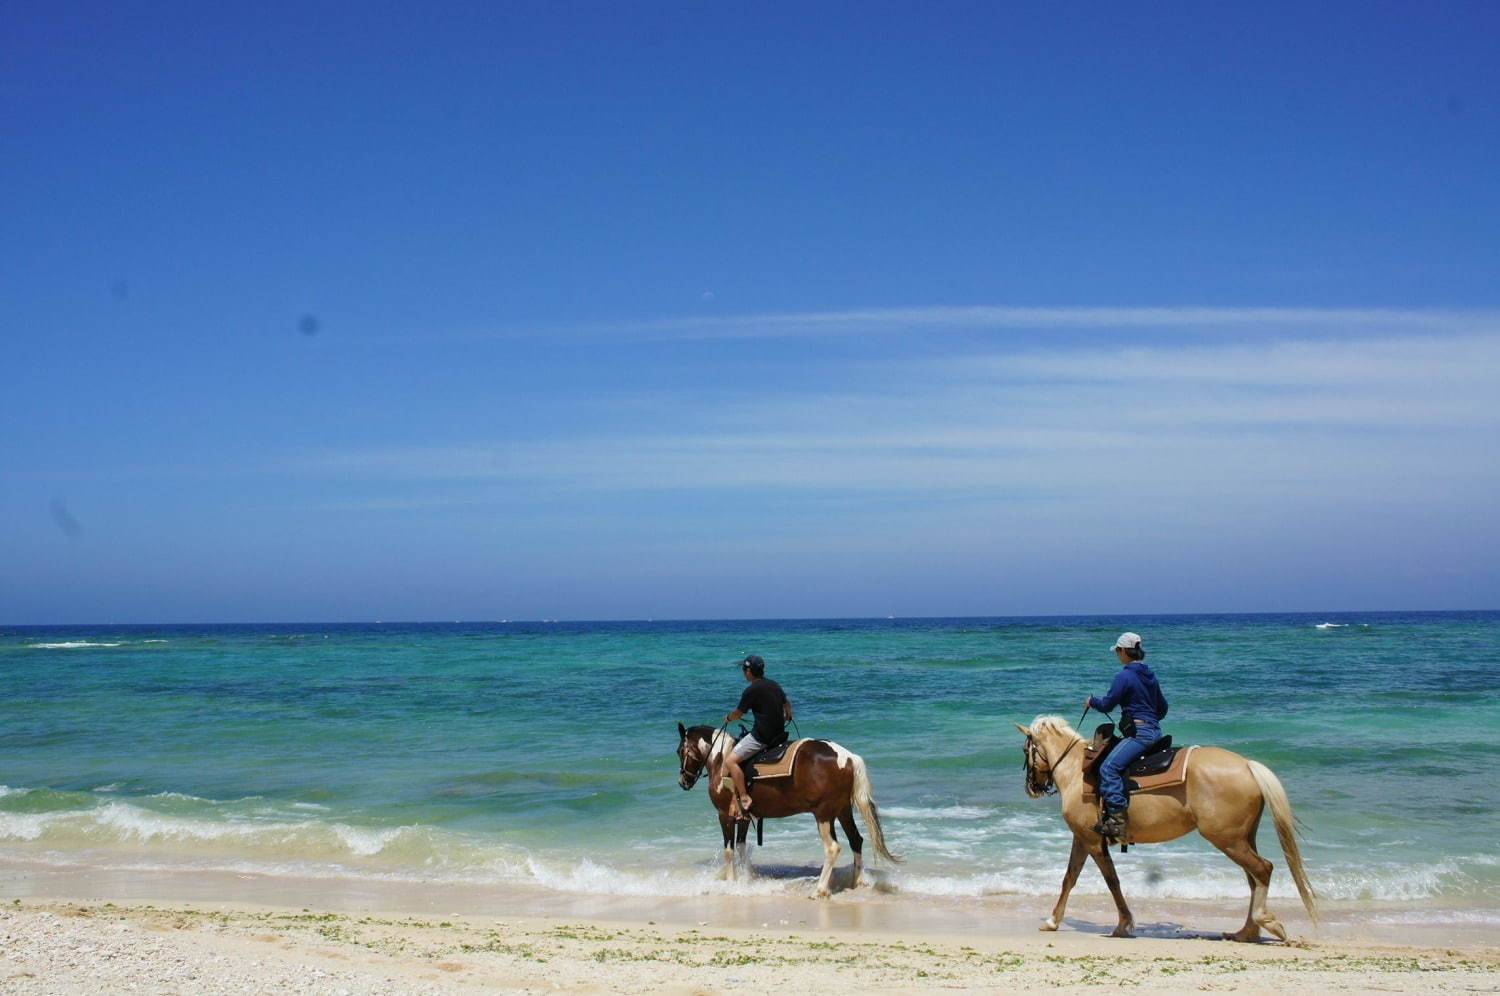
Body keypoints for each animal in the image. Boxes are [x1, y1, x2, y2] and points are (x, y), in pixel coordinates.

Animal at [678, 720, 894, 900]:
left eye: (680, 750)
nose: (683, 782)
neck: (722, 759)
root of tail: (847, 757)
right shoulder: (744, 817)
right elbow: (741, 848)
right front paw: (747, 879)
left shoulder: (725, 815)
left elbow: (729, 851)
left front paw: (731, 883)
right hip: (843, 810)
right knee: (855, 840)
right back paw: (856, 881)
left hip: (824, 814)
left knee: (833, 847)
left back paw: (820, 890)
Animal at [1014, 717, 1320, 942]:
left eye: (1025, 750)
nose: (1031, 788)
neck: (1076, 770)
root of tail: (1247, 765)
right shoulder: (1082, 838)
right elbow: (1070, 878)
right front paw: (1053, 921)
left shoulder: (1090, 839)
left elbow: (1111, 881)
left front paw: (1123, 925)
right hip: (1243, 838)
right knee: (1253, 877)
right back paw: (1246, 932)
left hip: (1227, 839)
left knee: (1262, 870)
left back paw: (1265, 923)